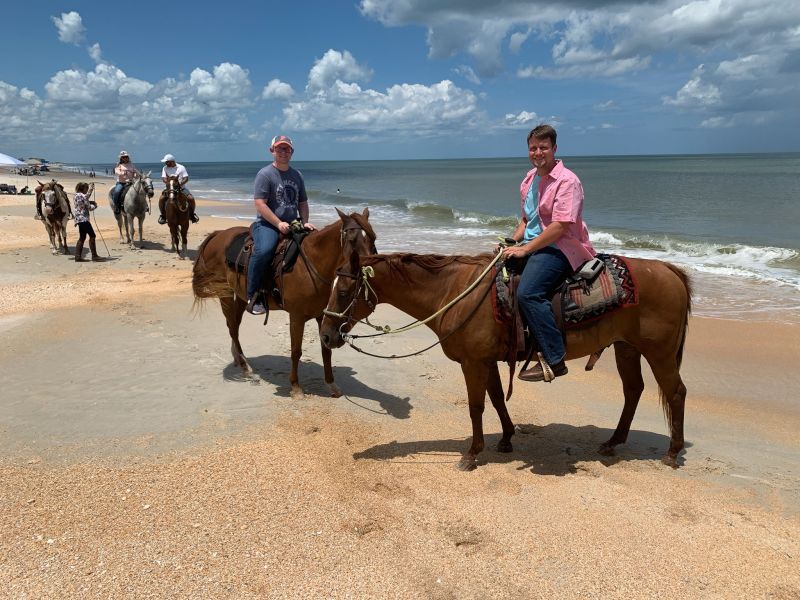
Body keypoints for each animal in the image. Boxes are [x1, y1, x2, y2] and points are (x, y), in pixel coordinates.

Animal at [195, 210, 380, 398]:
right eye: (352, 239)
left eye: (373, 238)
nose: (369, 270)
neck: (312, 264)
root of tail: (218, 234)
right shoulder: (297, 316)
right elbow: (296, 351)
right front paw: (296, 388)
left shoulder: (324, 316)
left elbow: (326, 349)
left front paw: (331, 385)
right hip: (224, 293)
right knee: (232, 328)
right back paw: (245, 367)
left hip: (240, 296)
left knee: (233, 325)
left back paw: (238, 358)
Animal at [322, 251, 692, 472]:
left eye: (344, 292)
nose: (326, 335)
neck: (454, 292)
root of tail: (669, 270)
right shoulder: (486, 360)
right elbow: (498, 398)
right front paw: (506, 439)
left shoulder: (472, 362)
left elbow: (476, 406)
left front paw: (472, 453)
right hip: (626, 347)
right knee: (633, 391)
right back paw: (613, 442)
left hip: (658, 352)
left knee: (675, 393)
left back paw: (672, 453)